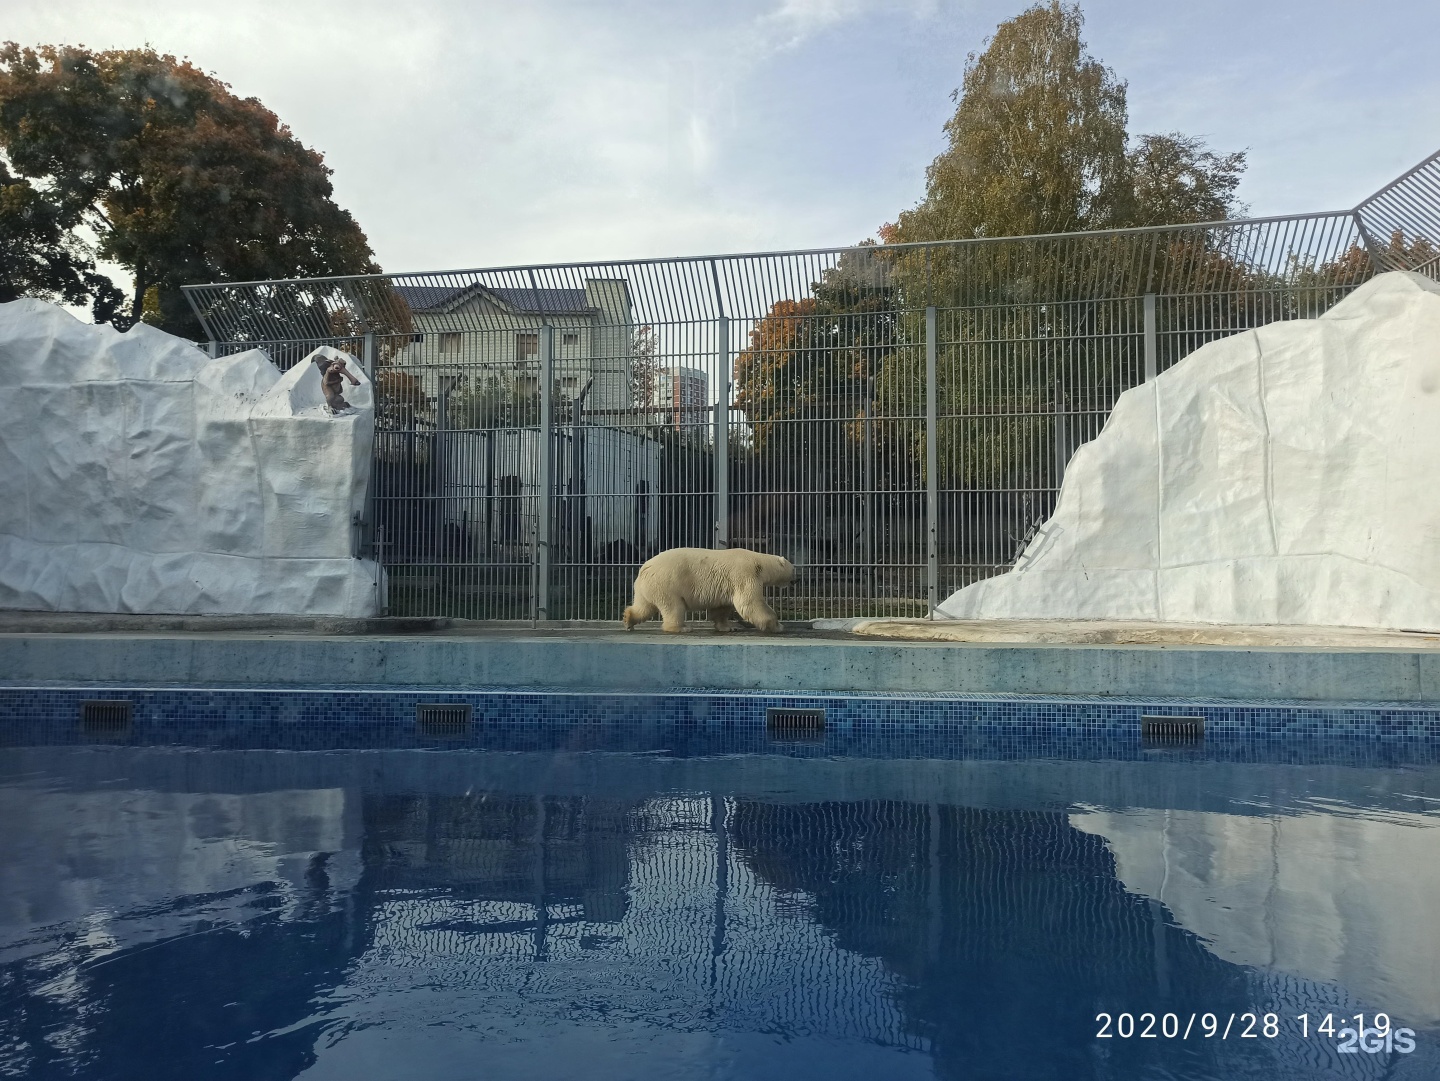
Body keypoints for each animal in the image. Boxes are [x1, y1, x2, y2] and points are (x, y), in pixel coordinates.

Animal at [622, 549, 800, 633]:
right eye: (793, 569)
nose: (797, 580)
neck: (759, 563)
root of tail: (645, 568)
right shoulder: (745, 574)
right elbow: (749, 603)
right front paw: (778, 626)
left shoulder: (728, 585)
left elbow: (721, 608)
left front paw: (729, 627)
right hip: (667, 583)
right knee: (674, 607)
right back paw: (682, 628)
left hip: (647, 587)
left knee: (644, 606)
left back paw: (628, 619)